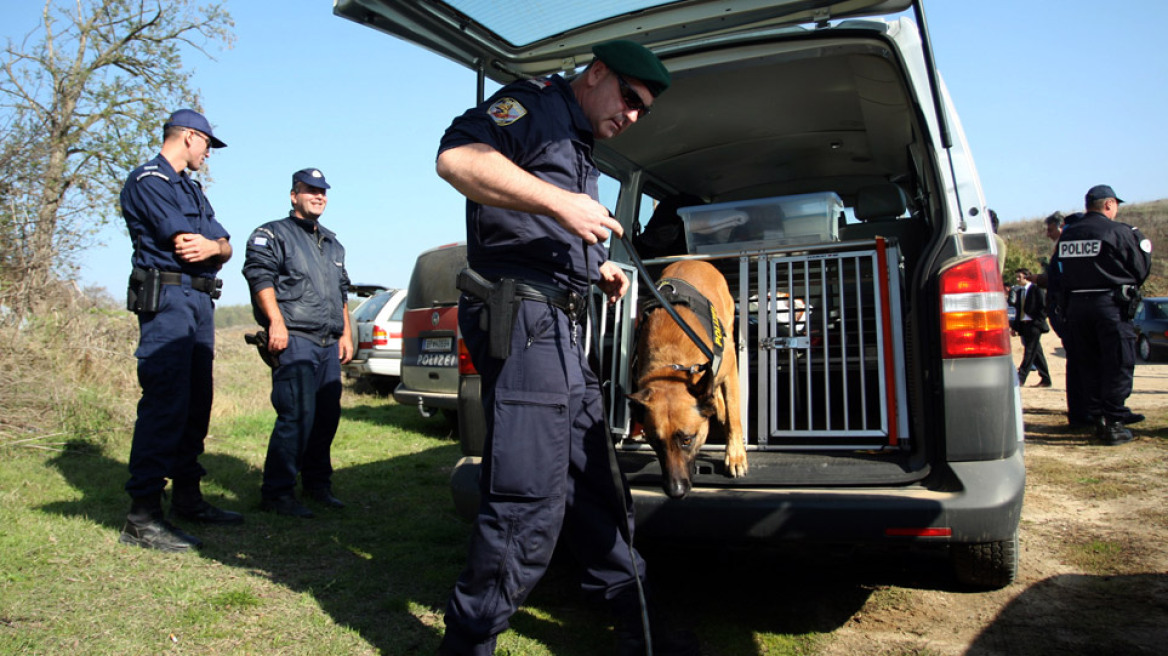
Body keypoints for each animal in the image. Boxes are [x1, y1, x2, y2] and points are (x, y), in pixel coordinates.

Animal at [630, 259, 747, 494]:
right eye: (655, 442)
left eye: (687, 440)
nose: (675, 491)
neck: (672, 368)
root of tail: (693, 260)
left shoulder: (730, 367)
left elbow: (734, 414)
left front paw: (736, 456)